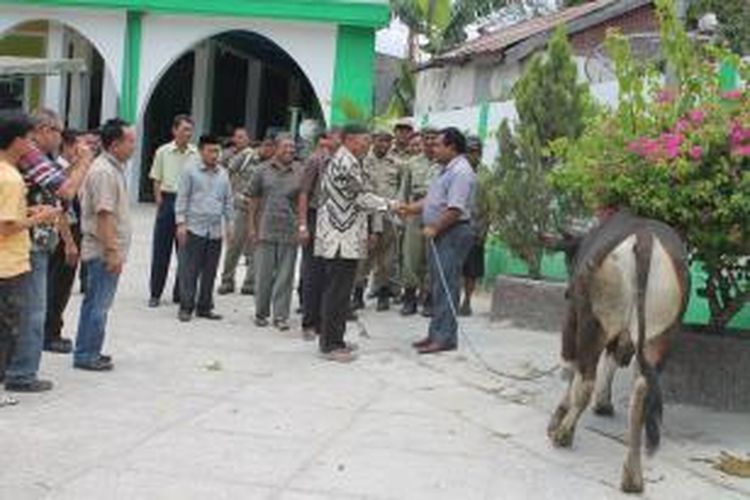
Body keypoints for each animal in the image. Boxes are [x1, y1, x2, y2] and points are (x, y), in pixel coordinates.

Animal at [548, 210, 692, 492]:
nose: (567, 291)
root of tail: (645, 238)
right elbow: (613, 360)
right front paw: (604, 403)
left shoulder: (573, 318)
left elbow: (571, 366)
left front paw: (559, 415)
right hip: (661, 334)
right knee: (642, 389)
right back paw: (633, 475)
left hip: (594, 322)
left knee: (586, 378)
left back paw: (564, 433)